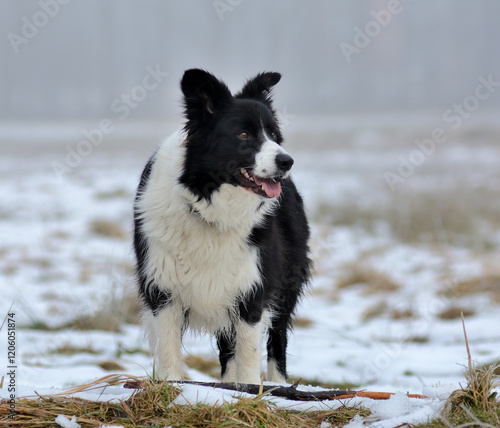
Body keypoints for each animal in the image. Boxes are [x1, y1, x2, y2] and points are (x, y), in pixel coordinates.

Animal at [135, 70, 310, 384]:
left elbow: (249, 353)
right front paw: (172, 385)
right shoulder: (163, 289)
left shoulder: (251, 286)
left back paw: (278, 385)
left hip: (285, 283)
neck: (208, 206)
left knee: (277, 338)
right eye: (243, 134)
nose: (286, 161)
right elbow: (168, 349)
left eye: (274, 135)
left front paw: (251, 391)